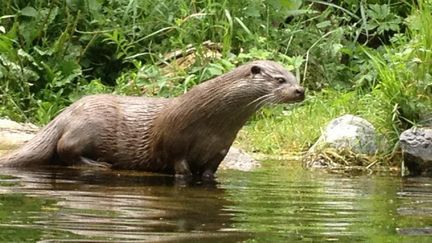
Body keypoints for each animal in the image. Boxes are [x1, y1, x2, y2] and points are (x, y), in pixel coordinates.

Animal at [0, 59, 304, 179]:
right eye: (279, 80)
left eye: (294, 77)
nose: (300, 90)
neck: (212, 123)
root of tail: (65, 113)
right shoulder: (175, 142)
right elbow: (179, 166)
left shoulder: (221, 148)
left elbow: (209, 171)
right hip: (87, 125)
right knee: (65, 149)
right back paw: (100, 164)